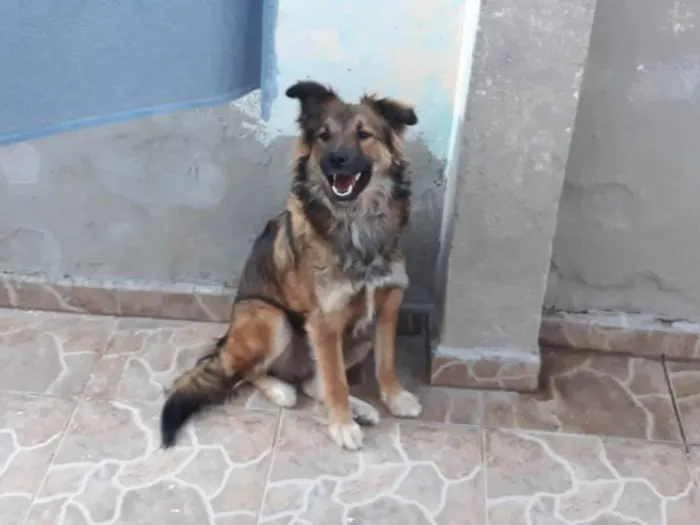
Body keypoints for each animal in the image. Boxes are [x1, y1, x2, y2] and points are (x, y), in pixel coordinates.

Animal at [159, 80, 422, 448]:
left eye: (363, 134)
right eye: (324, 135)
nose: (335, 159)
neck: (356, 224)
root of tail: (227, 339)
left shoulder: (387, 305)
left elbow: (385, 363)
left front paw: (395, 398)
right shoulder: (325, 321)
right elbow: (336, 382)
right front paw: (342, 426)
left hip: (357, 335)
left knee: (313, 382)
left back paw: (361, 408)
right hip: (270, 317)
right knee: (246, 372)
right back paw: (281, 390)